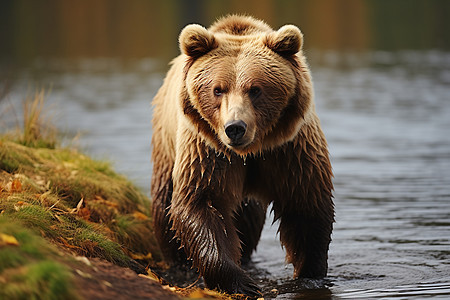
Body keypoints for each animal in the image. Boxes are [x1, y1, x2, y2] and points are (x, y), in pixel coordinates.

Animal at [151, 15, 334, 296]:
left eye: (255, 89)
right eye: (218, 89)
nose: (235, 127)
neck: (250, 151)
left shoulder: (290, 149)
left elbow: (305, 205)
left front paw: (309, 275)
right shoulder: (208, 150)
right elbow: (202, 203)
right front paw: (242, 283)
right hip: (167, 142)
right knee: (164, 203)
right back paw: (179, 262)